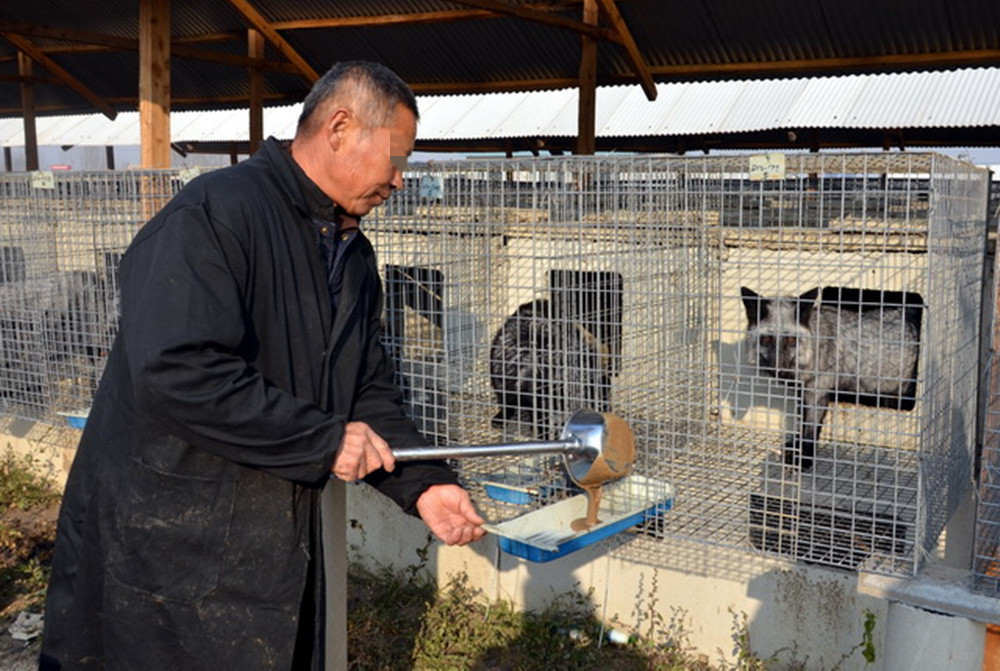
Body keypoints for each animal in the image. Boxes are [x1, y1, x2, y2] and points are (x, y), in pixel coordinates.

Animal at [740, 286, 916, 470]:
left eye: (791, 339)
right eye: (767, 339)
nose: (778, 369)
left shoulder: (817, 394)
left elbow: (810, 429)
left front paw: (804, 458)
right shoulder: (803, 393)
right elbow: (802, 424)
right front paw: (796, 448)